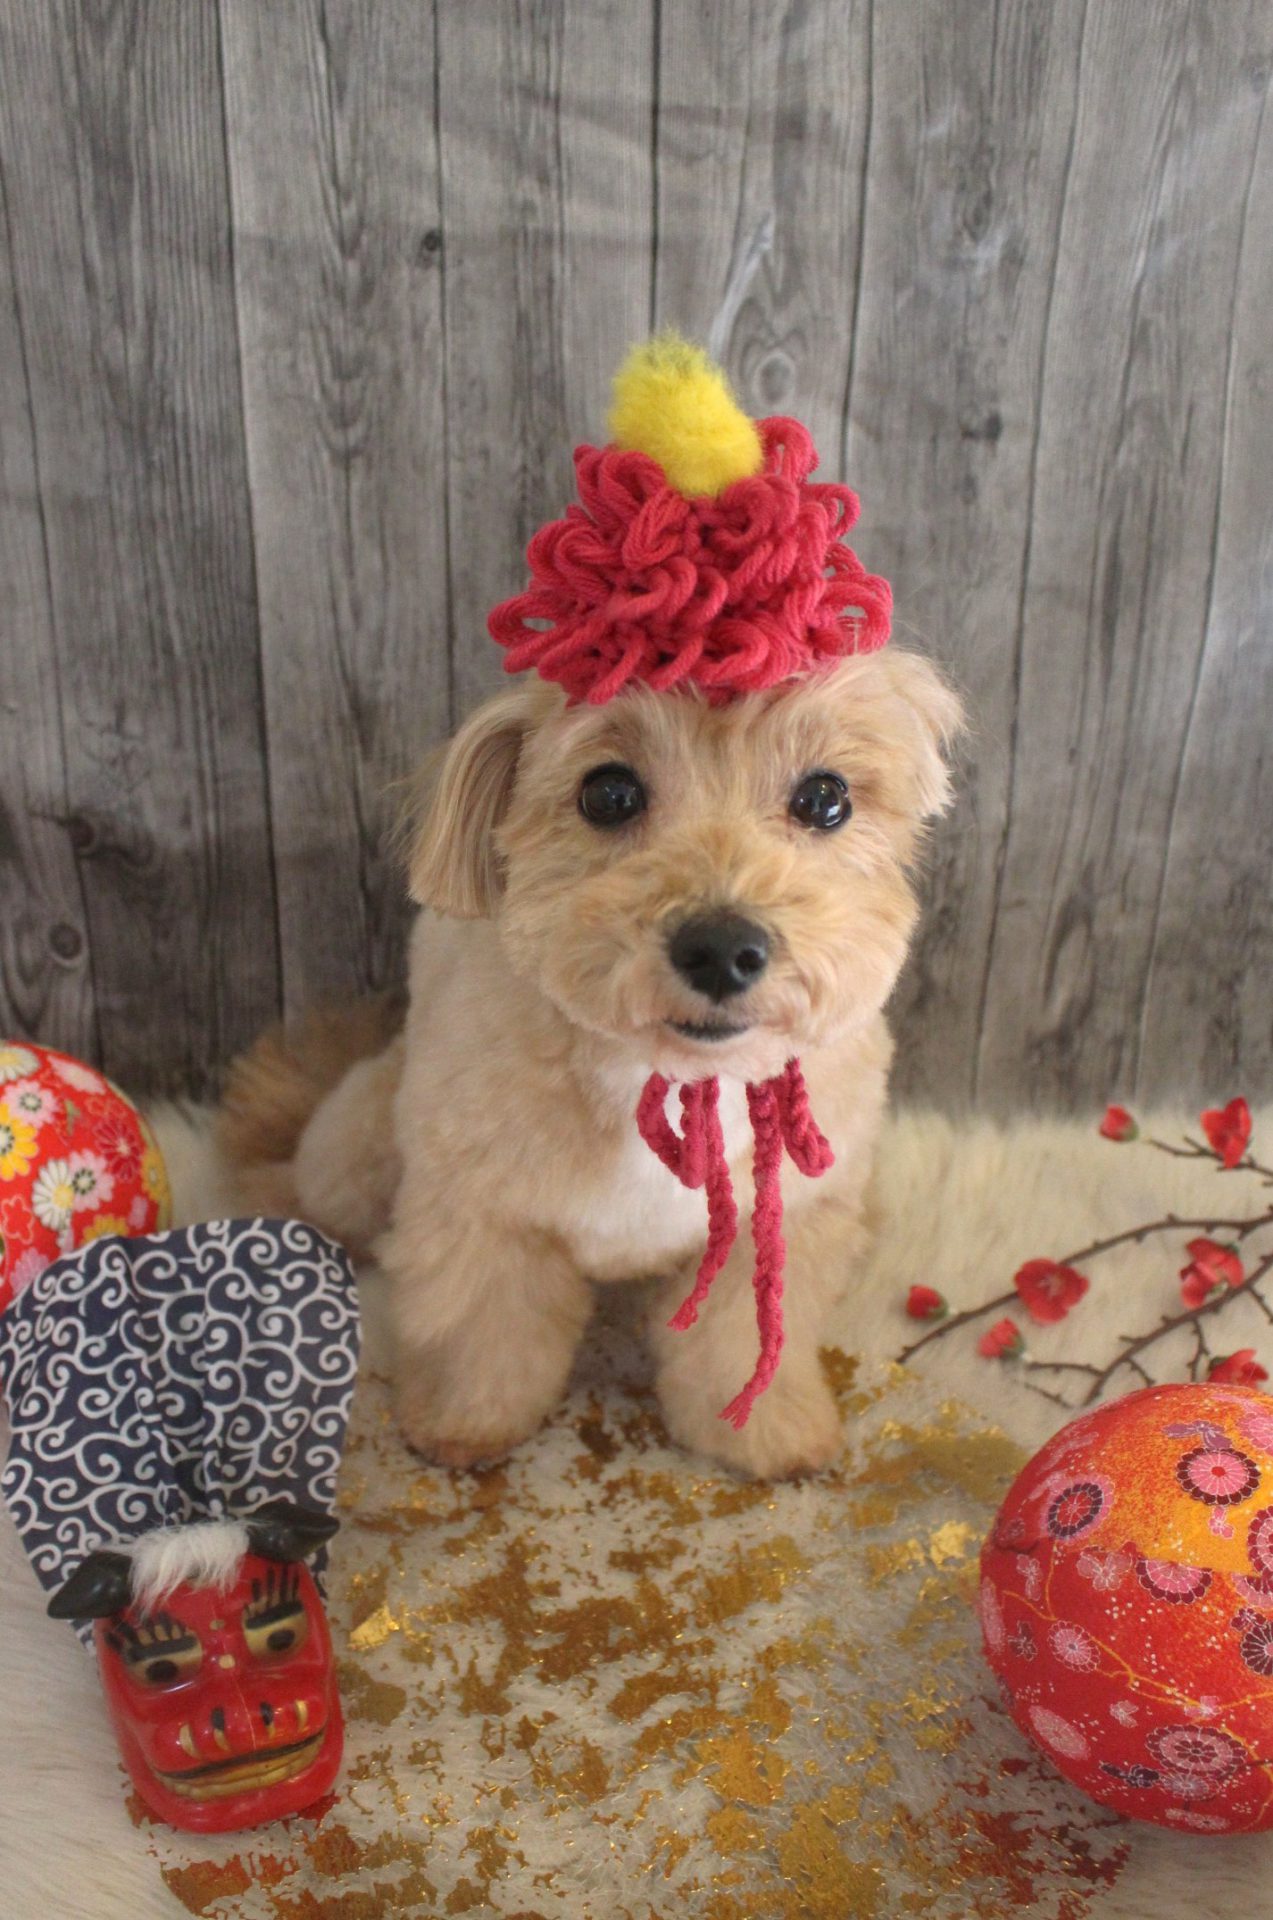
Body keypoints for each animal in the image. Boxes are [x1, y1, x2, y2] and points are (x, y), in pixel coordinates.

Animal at [219, 647, 962, 1480]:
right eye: (608, 793)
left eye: (825, 798)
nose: (721, 947)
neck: (667, 1077)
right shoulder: (480, 1208)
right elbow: (483, 1328)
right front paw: (462, 1422)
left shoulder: (782, 1220)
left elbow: (740, 1341)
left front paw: (767, 1433)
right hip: (356, 1142)